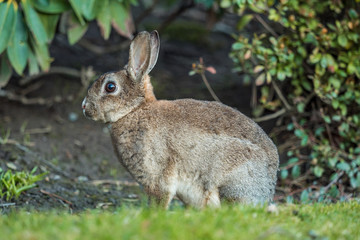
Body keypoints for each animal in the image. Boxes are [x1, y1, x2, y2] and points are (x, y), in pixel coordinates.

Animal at [81, 30, 278, 208]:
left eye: (110, 87)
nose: (84, 106)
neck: (135, 110)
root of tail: (268, 188)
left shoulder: (157, 175)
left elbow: (160, 197)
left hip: (231, 182)